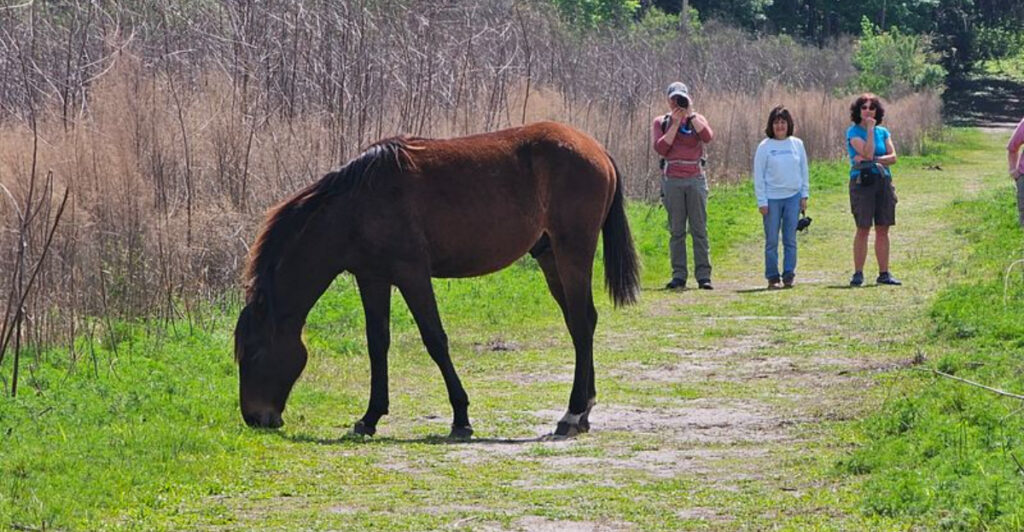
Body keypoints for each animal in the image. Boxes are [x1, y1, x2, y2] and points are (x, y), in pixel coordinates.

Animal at [233, 120, 641, 439]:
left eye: (253, 351)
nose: (254, 417)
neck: (355, 205)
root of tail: (597, 150)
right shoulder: (372, 277)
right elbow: (377, 343)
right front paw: (370, 417)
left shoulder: (412, 274)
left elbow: (435, 340)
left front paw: (460, 417)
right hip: (550, 256)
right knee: (580, 322)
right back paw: (584, 410)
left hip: (572, 252)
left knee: (582, 324)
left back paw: (572, 413)